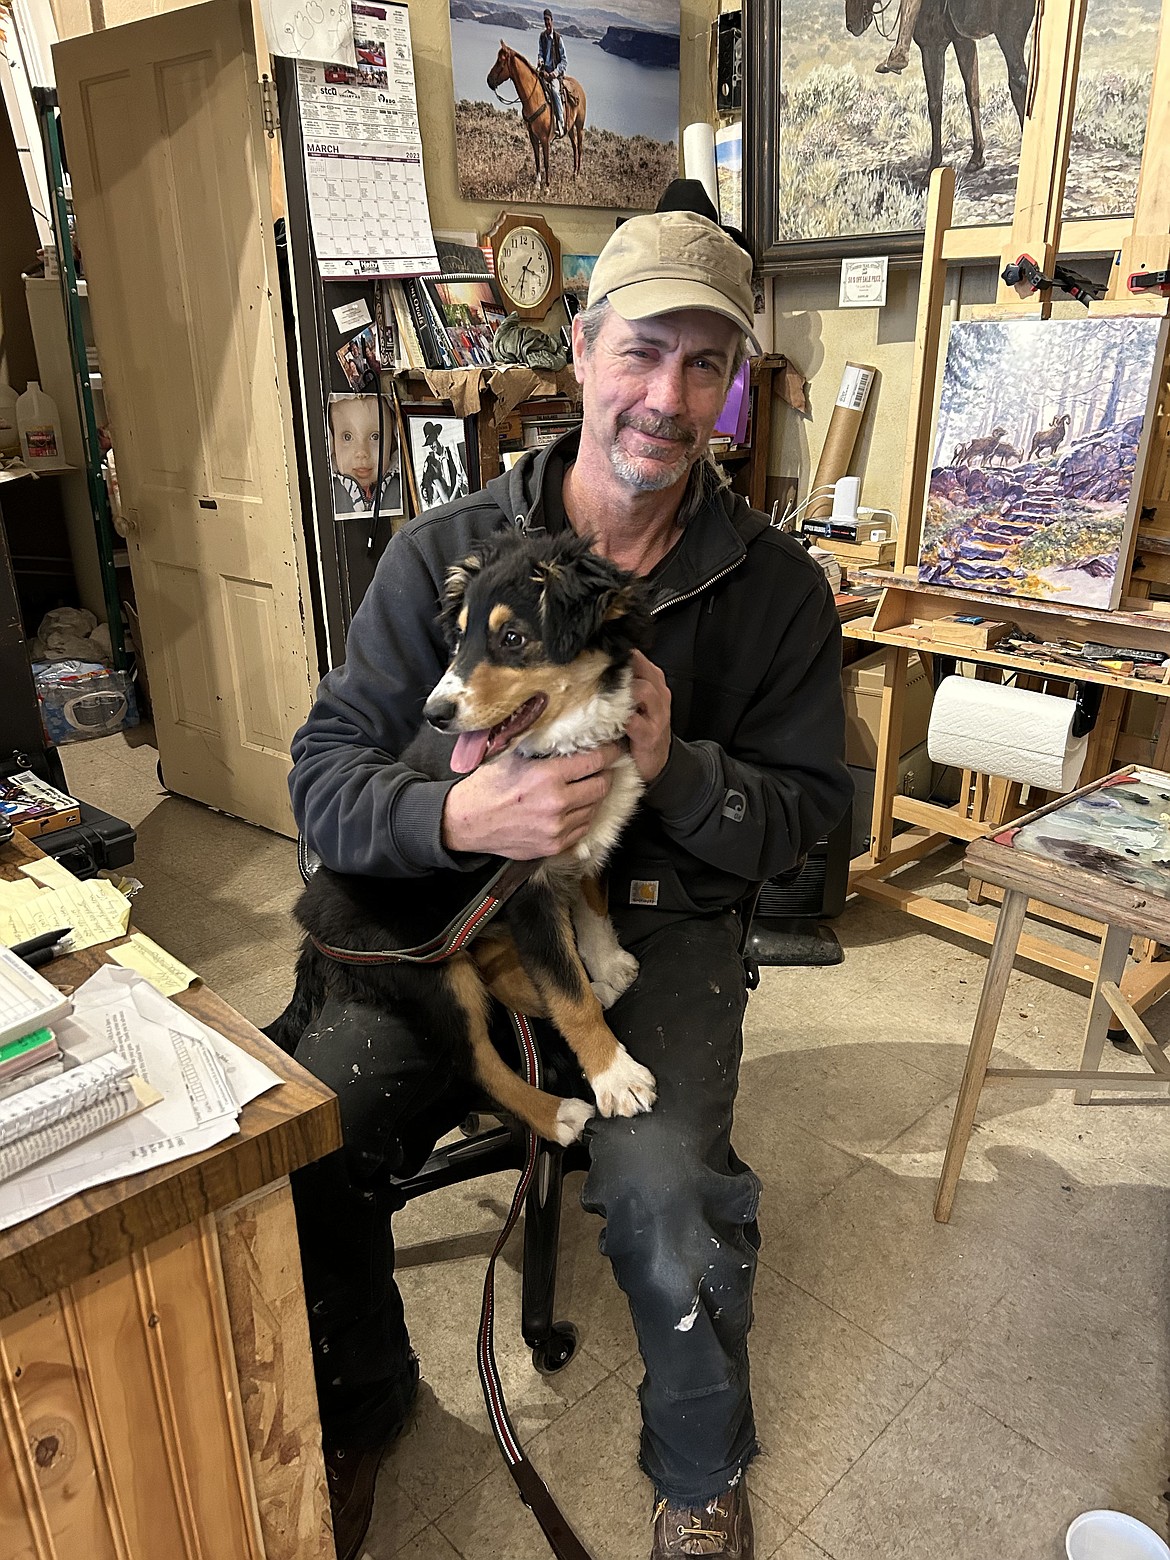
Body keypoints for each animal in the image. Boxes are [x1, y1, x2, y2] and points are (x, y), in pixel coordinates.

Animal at [274, 527, 661, 1148]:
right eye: (458, 639)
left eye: (512, 637)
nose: (435, 713)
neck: (565, 743)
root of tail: (312, 935)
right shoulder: (525, 887)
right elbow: (569, 995)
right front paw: (615, 1077)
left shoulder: (578, 845)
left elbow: (593, 903)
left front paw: (605, 965)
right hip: (424, 969)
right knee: (475, 1058)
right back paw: (558, 1113)